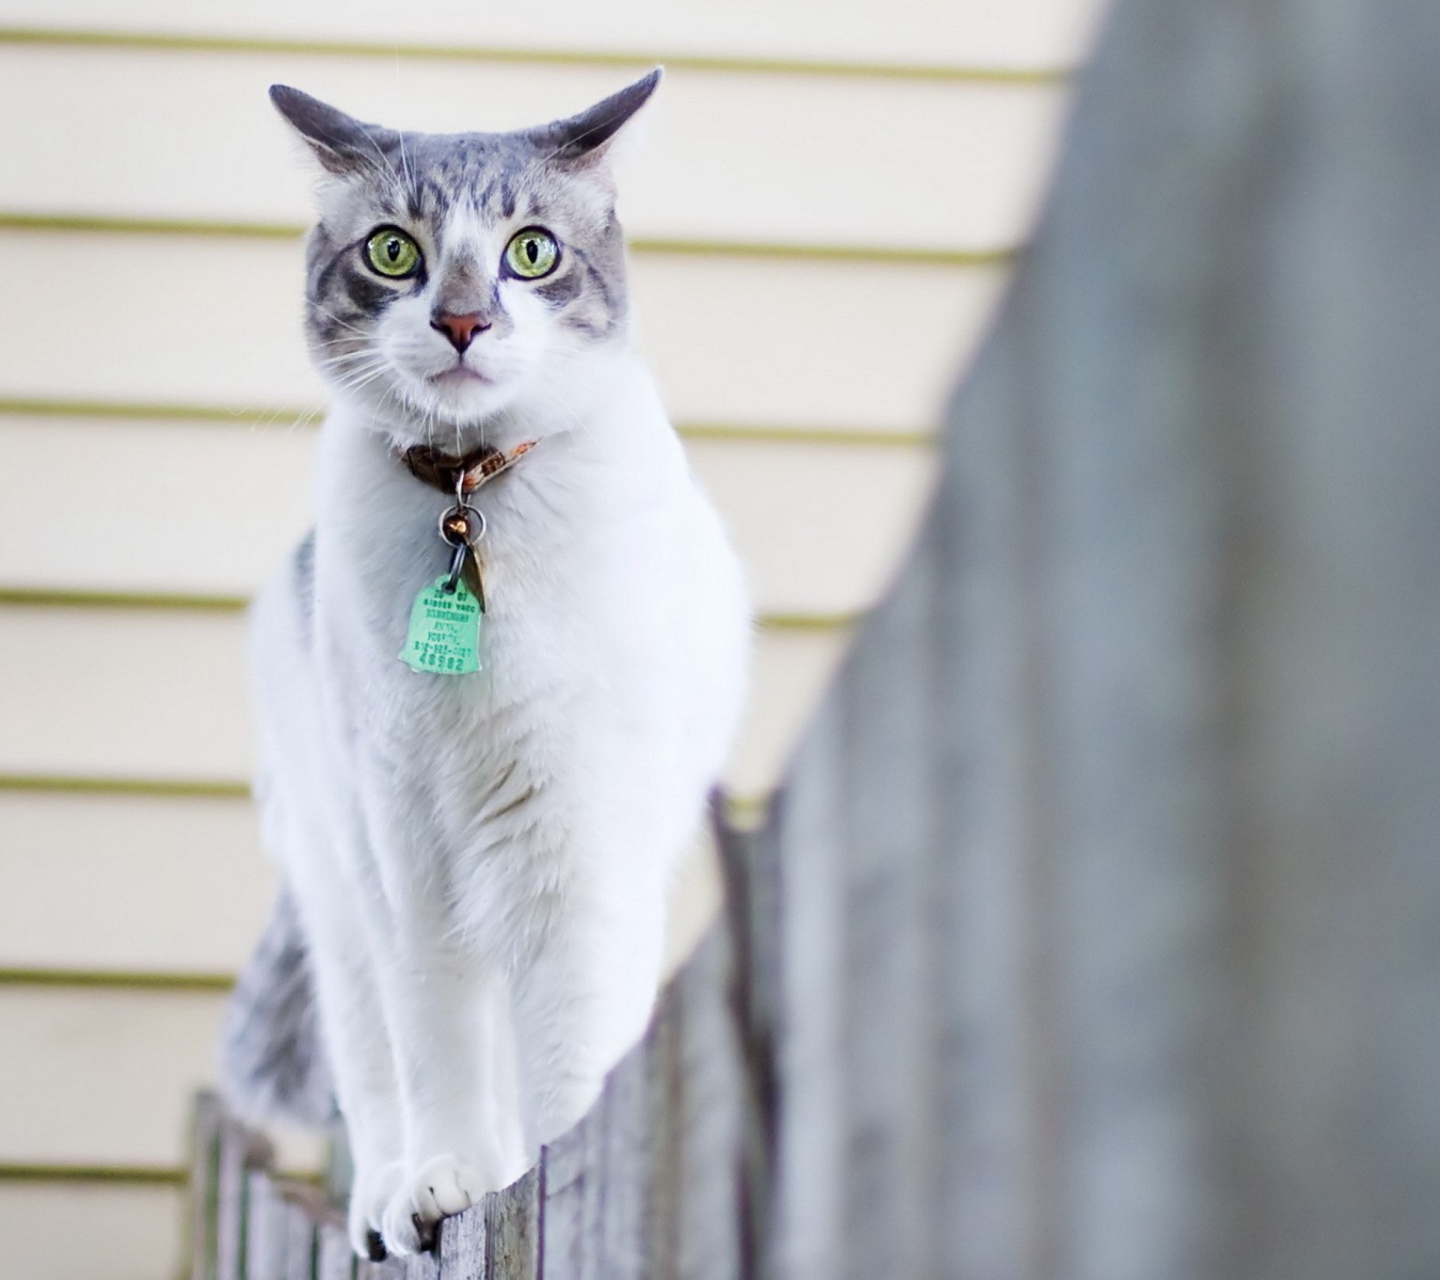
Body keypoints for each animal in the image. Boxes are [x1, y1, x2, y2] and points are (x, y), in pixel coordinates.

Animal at [221, 72, 754, 1261]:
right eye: (393, 252)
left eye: (531, 253)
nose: (464, 321)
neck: (470, 503)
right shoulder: (407, 850)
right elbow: (437, 1045)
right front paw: (446, 1182)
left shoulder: (577, 846)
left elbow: (572, 1049)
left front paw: (556, 1182)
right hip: (340, 887)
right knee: (374, 1066)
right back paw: (384, 1198)